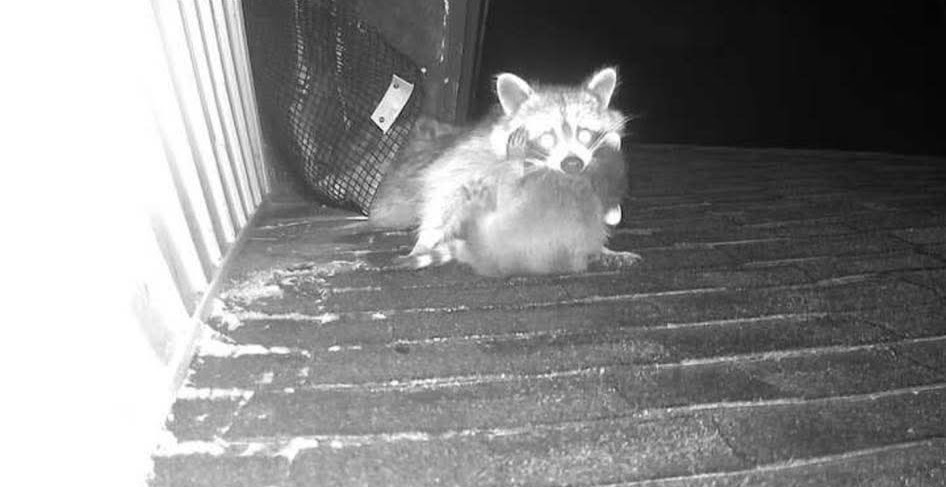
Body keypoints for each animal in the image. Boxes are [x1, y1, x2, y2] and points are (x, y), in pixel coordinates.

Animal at [368, 67, 640, 276]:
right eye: (547, 137)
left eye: (584, 134)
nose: (572, 163)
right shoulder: (471, 158)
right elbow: (444, 192)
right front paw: (426, 239)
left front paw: (603, 248)